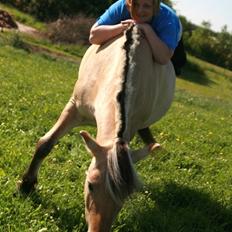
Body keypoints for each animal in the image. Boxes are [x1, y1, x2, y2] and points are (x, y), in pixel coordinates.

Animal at [18, 25, 176, 232]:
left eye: (126, 196)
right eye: (91, 185)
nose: (97, 229)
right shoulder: (74, 108)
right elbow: (46, 144)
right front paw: (26, 186)